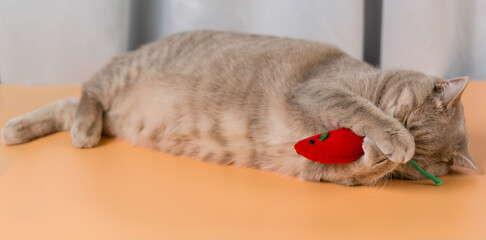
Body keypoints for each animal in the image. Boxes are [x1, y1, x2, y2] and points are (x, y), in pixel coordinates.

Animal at [0, 30, 478, 186]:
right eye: (406, 119)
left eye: (418, 169)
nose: (403, 137)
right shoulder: (322, 89)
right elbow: (362, 108)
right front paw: (388, 138)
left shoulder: (319, 170)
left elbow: (362, 169)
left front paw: (379, 154)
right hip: (119, 78)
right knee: (86, 92)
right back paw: (81, 131)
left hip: (117, 114)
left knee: (68, 104)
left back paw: (19, 128)